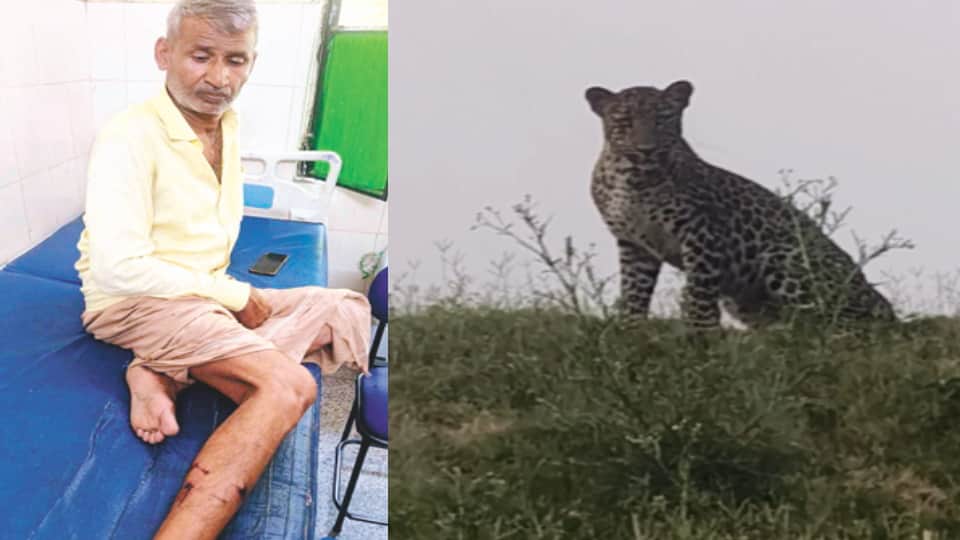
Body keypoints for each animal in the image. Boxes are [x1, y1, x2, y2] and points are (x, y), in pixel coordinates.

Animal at [584, 79, 896, 330]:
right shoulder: (633, 244)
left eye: (662, 119)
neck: (631, 178)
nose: (645, 149)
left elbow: (698, 291)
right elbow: (634, 292)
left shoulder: (700, 234)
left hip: (783, 256)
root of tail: (887, 309)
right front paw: (631, 329)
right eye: (624, 121)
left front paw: (700, 334)